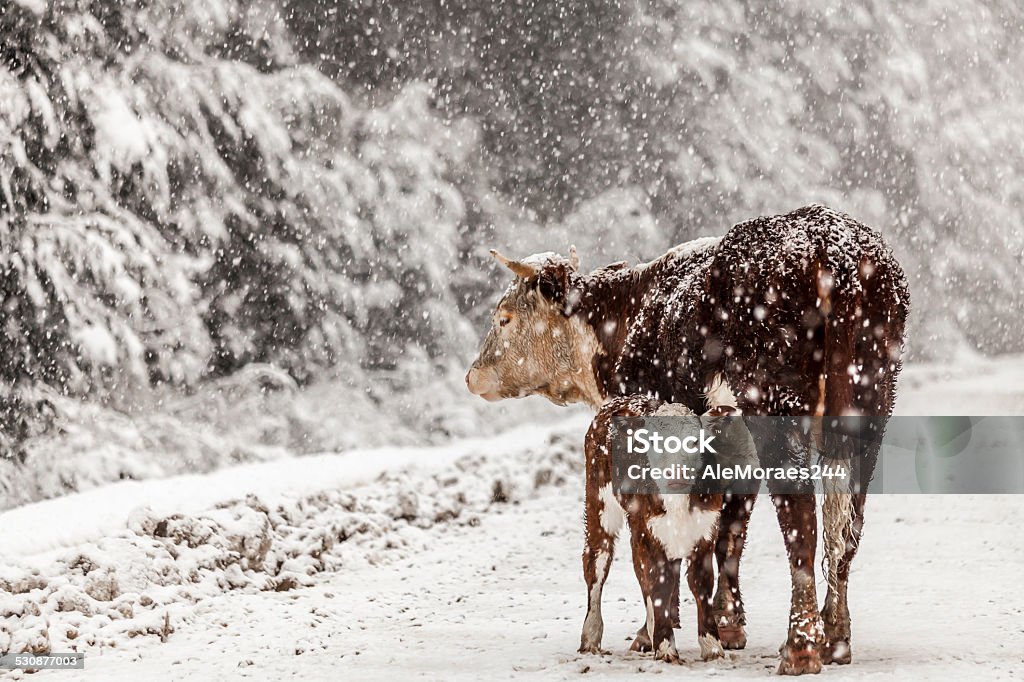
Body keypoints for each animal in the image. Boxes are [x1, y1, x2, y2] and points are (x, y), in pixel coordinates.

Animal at [468, 204, 909, 671]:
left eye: (505, 317)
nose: (473, 376)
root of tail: (828, 241)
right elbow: (730, 532)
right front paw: (727, 624)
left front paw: (654, 632)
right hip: (870, 410)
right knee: (846, 525)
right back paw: (835, 636)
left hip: (777, 410)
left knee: (802, 520)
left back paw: (801, 647)